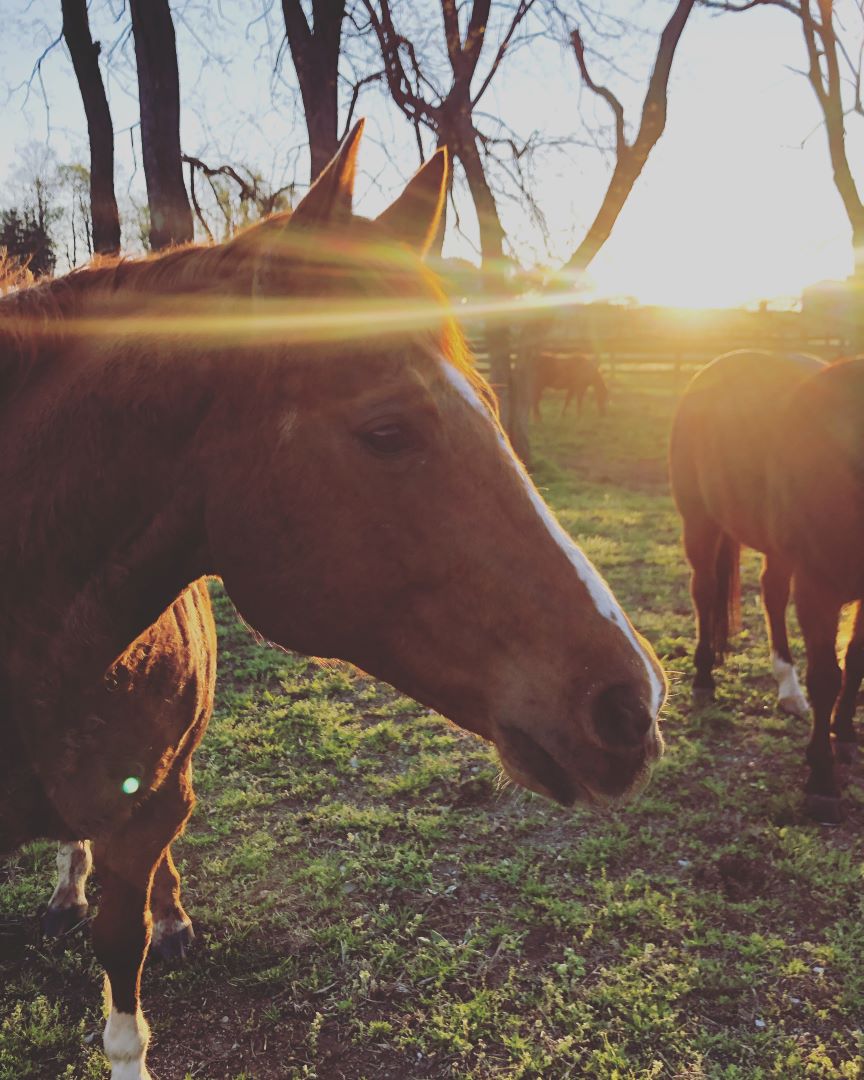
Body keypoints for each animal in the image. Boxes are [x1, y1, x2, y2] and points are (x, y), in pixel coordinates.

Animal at [669, 349, 864, 823]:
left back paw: (787, 689)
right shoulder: (818, 588)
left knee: (772, 593)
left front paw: (845, 733)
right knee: (705, 593)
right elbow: (827, 676)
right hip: (700, 523)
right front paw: (822, 780)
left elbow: (856, 660)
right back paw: (704, 679)